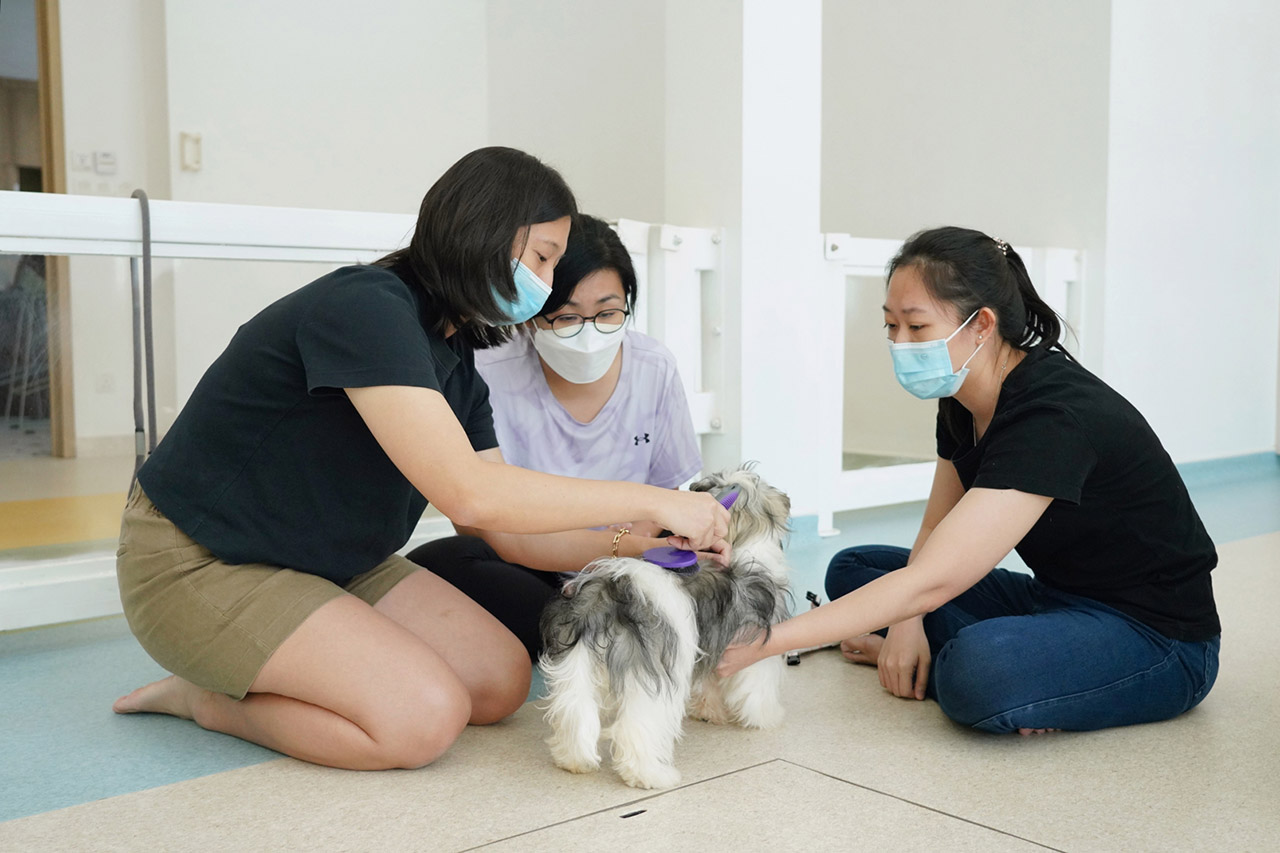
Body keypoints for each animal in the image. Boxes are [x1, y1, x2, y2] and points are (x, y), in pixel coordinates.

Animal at [537, 466, 788, 788]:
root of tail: (611, 591)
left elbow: (709, 682)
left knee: (575, 709)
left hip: (575, 661)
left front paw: (708, 712)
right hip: (655, 673)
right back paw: (650, 775)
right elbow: (757, 687)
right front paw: (767, 717)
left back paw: (573, 760)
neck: (745, 543)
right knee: (636, 728)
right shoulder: (755, 647)